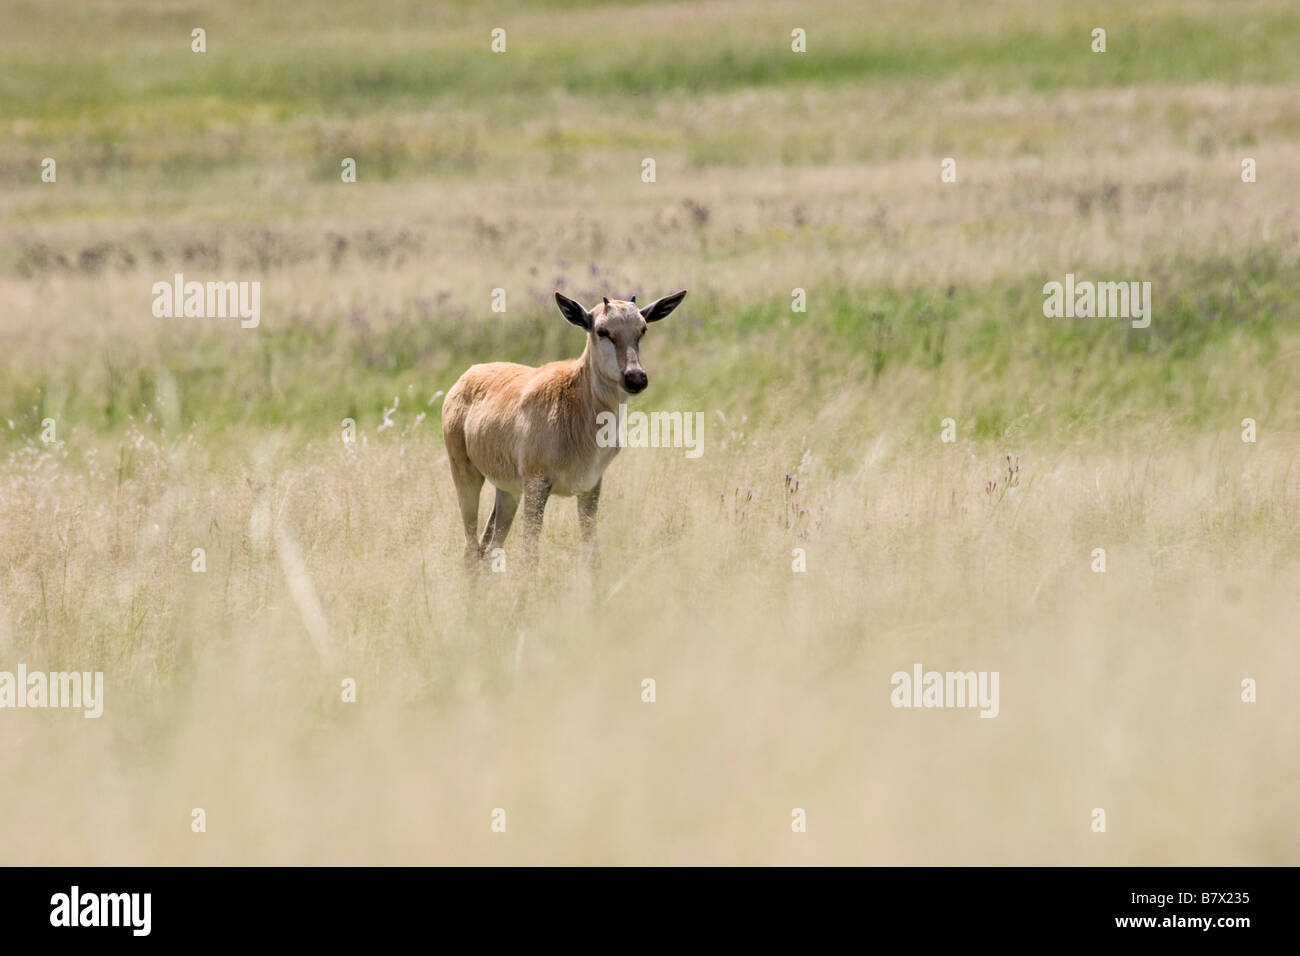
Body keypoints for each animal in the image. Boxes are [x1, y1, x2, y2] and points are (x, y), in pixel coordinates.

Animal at [439, 287, 686, 572]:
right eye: (602, 330)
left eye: (642, 329)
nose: (635, 378)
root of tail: (467, 376)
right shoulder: (537, 485)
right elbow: (530, 556)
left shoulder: (591, 487)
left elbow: (592, 555)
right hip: (466, 474)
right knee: (470, 548)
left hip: (508, 491)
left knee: (489, 546)